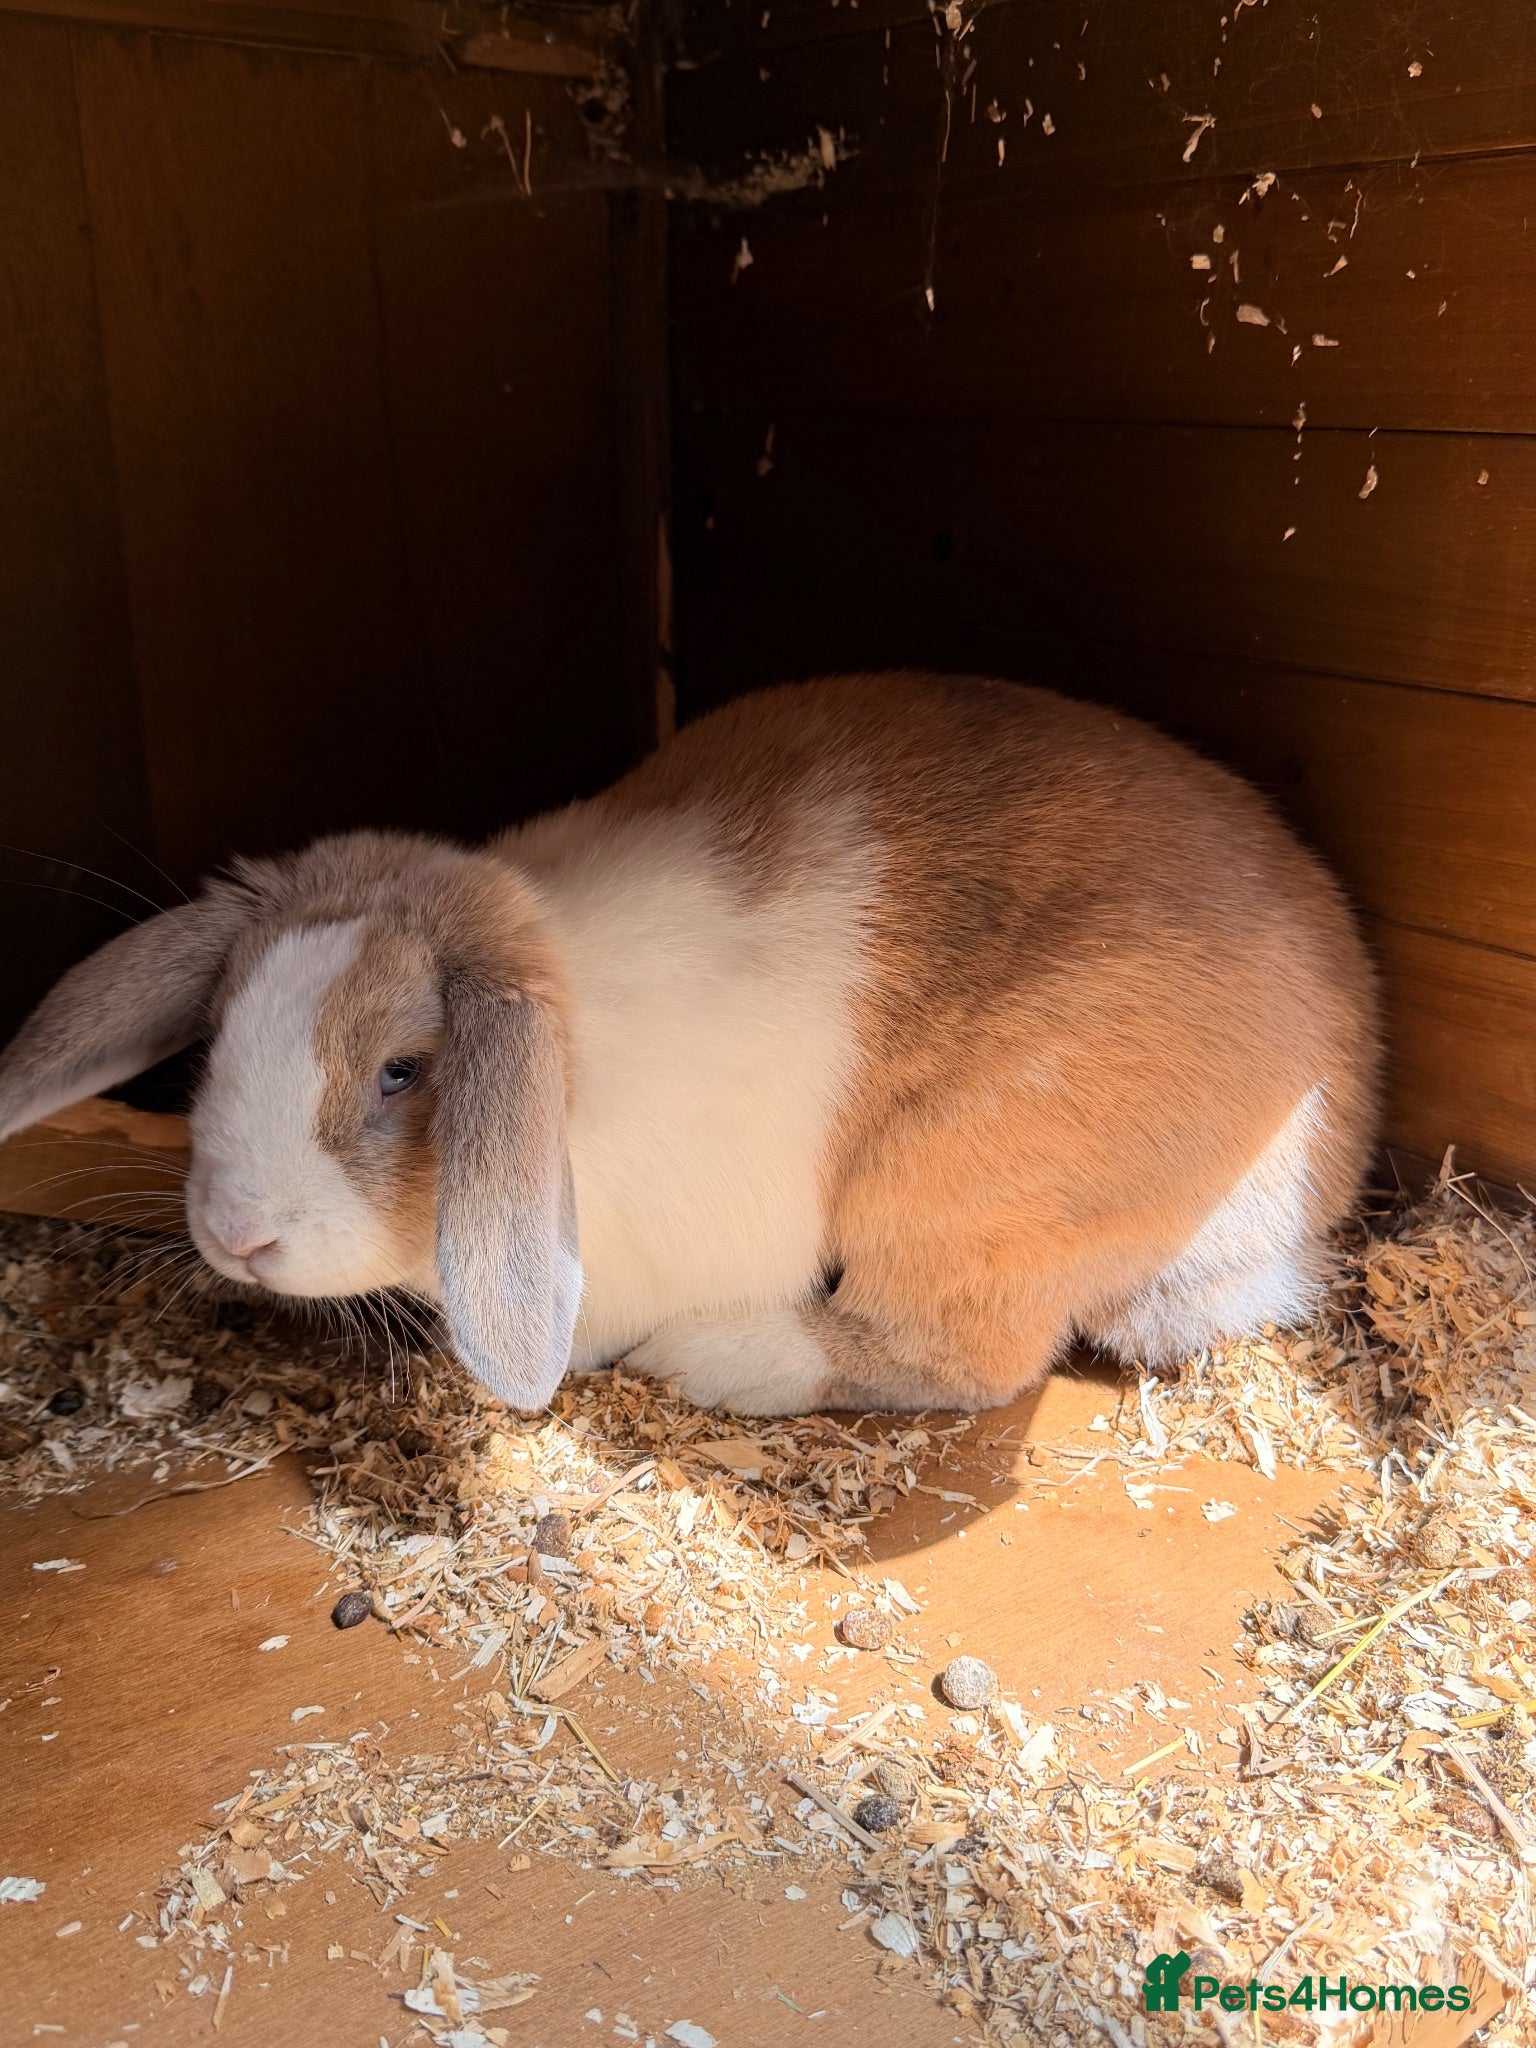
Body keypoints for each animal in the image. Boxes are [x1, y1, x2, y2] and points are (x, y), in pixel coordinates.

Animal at [0, 673, 1379, 1416]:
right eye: (219, 1031)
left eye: (402, 1070)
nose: (235, 1235)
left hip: (961, 1183)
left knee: (970, 1354)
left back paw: (722, 1359)